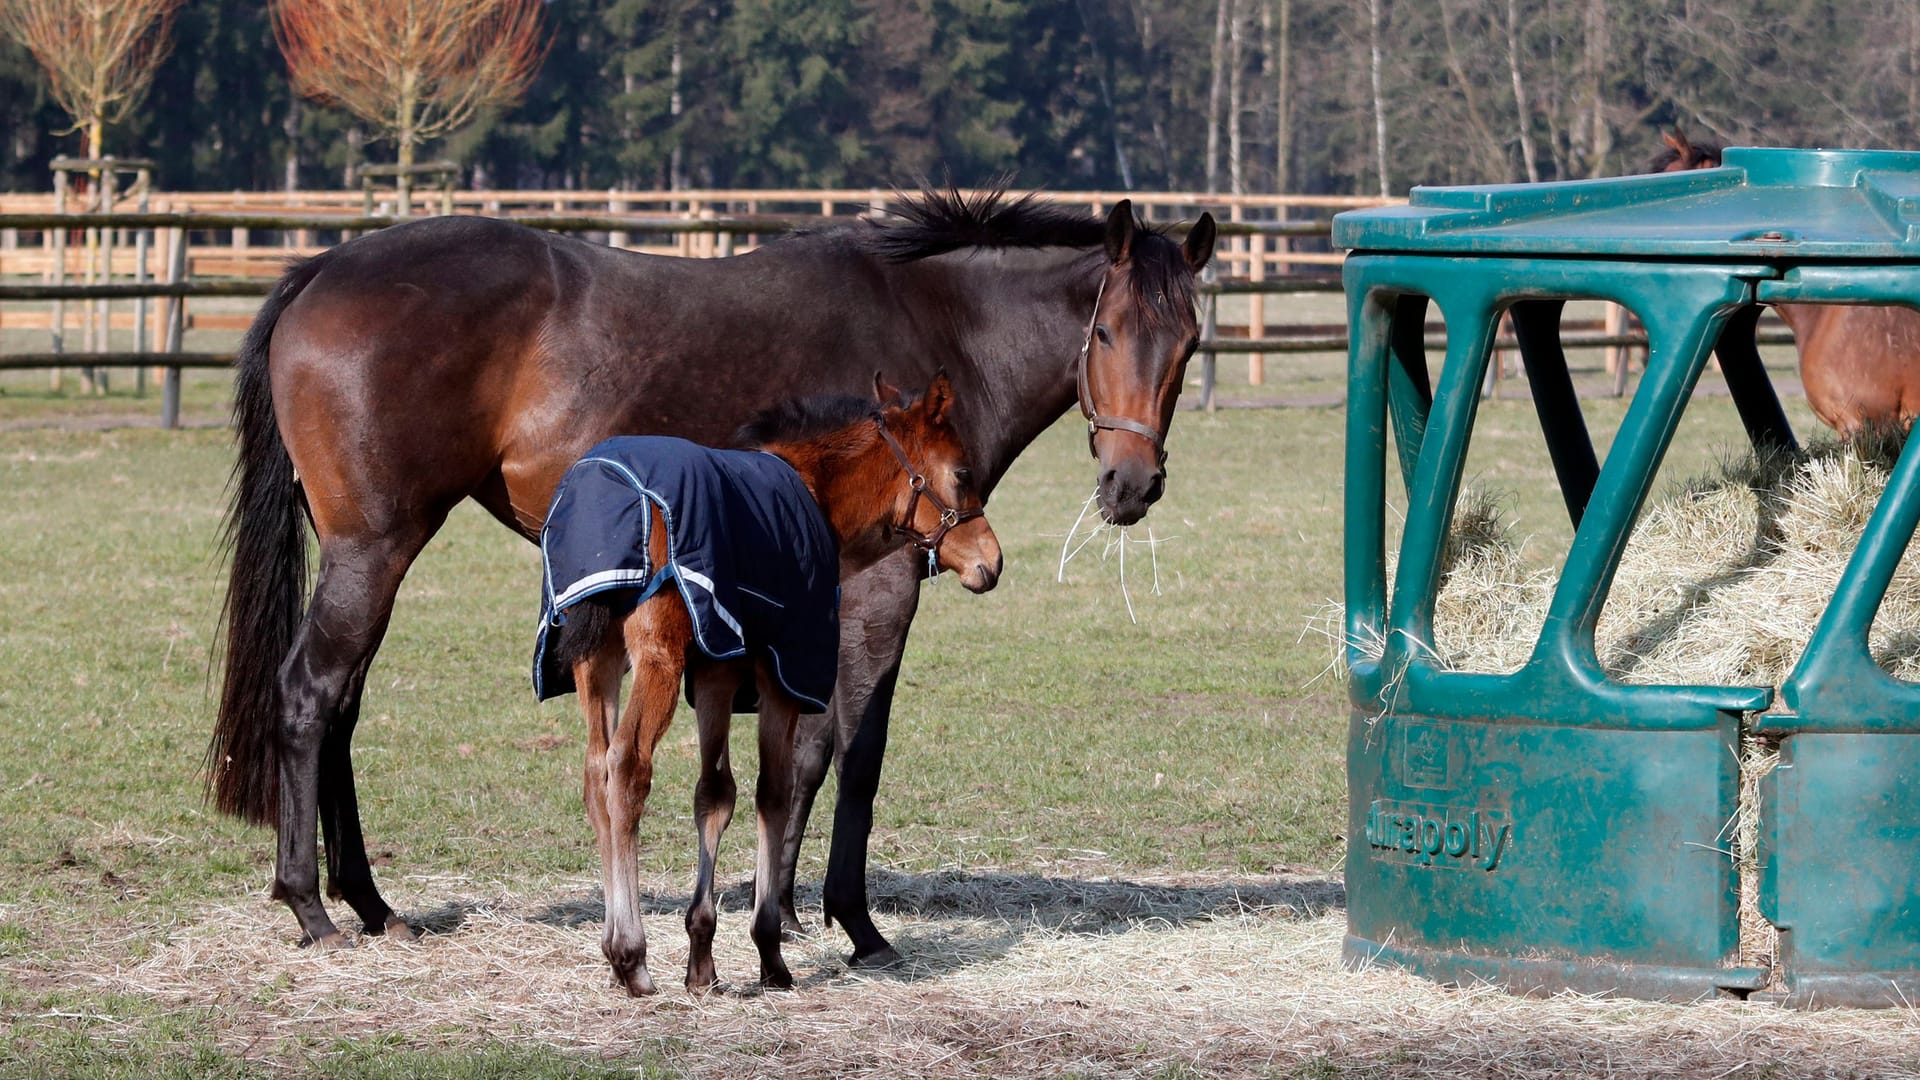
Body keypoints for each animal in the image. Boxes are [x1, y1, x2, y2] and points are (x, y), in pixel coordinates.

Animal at [541, 368, 990, 991]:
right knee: (626, 766)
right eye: (964, 473)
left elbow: (714, 794)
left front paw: (702, 959)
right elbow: (774, 791)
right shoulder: (782, 673)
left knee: (594, 771)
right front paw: (770, 951)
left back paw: (615, 953)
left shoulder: (717, 670)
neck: (813, 493)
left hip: (598, 659)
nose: (992, 561)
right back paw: (630, 956)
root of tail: (601, 490)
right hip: (656, 657)